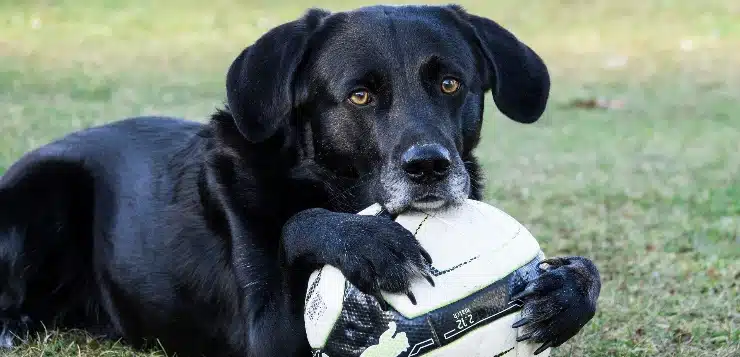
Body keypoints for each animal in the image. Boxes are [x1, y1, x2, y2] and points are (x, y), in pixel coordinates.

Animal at [0, 3, 600, 356]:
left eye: (451, 84)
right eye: (360, 95)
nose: (430, 166)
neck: (331, 186)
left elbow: (585, 271)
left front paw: (567, 291)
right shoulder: (271, 334)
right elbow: (297, 223)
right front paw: (366, 242)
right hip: (43, 191)